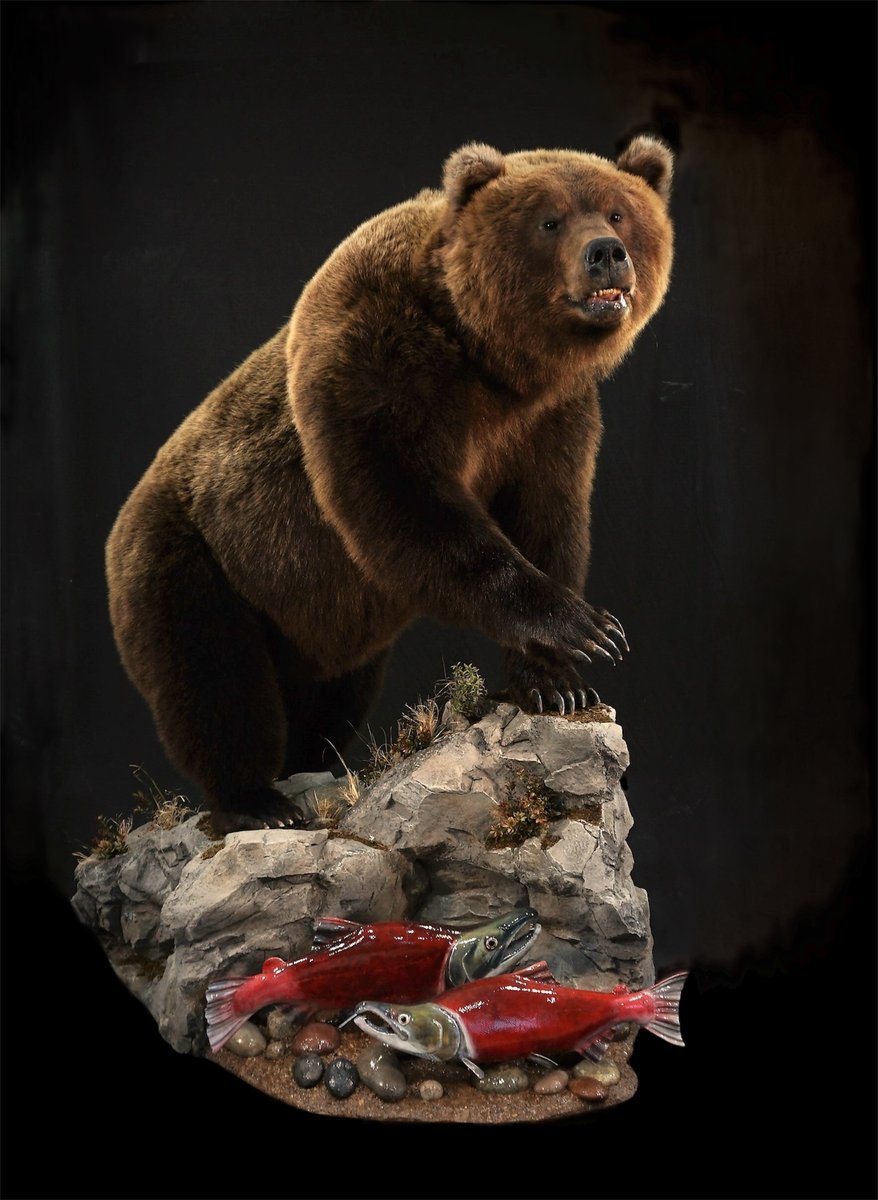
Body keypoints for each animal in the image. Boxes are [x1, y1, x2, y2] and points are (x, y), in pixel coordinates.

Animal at [106, 136, 674, 835]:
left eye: (619, 212)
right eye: (549, 220)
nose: (606, 253)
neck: (490, 358)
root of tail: (116, 532)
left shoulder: (549, 420)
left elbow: (549, 518)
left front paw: (557, 681)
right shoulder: (373, 368)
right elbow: (406, 506)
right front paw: (584, 627)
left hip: (311, 623)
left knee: (327, 697)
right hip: (195, 563)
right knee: (213, 680)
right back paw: (256, 799)